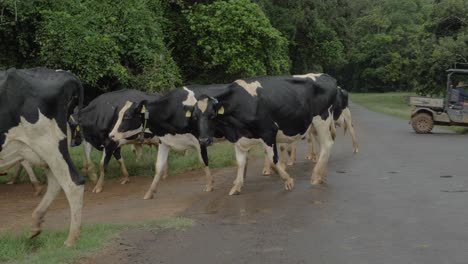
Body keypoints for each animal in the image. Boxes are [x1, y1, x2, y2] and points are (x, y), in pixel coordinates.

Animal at [0, 67, 84, 245]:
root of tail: (64, 73)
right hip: (43, 150)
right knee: (56, 181)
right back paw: (35, 224)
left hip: (49, 144)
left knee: (72, 182)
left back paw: (71, 238)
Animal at [192, 73, 342, 195]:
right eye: (195, 117)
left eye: (212, 115)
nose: (203, 140)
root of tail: (327, 76)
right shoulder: (239, 138)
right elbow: (240, 162)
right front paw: (236, 187)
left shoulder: (268, 132)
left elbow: (273, 161)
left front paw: (288, 181)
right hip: (314, 126)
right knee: (323, 145)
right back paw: (321, 173)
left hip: (322, 119)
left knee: (327, 144)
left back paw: (315, 177)